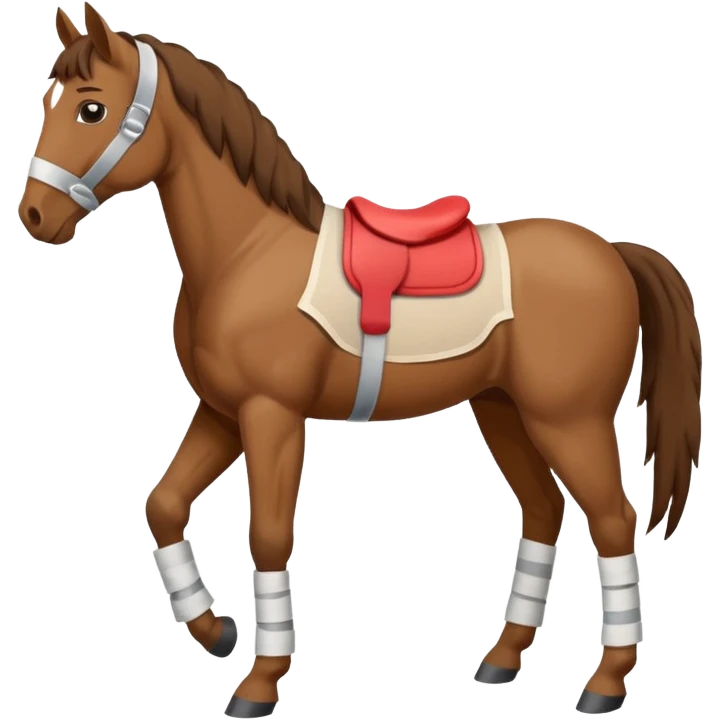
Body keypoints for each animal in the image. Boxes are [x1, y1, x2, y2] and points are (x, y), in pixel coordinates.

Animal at [17, 4, 703, 718]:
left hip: (569, 420)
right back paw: (503, 658)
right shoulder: (222, 412)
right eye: (46, 100)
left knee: (614, 520)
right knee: (545, 510)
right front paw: (216, 631)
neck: (248, 252)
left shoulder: (272, 416)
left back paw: (605, 681)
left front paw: (259, 683)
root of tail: (614, 253)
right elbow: (164, 504)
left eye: (90, 109)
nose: (34, 214)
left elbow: (268, 536)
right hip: (503, 411)